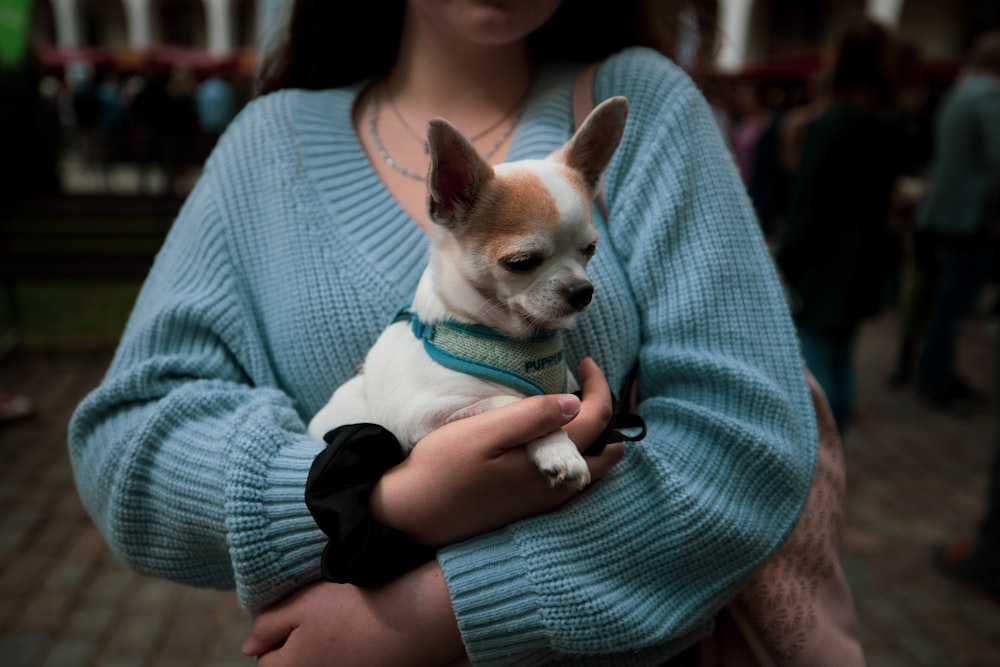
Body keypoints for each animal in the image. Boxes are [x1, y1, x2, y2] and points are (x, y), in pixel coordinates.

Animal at [308, 96, 628, 488]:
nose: (582, 290)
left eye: (590, 250)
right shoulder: (423, 417)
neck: (511, 336)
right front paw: (558, 449)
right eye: (521, 262)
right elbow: (514, 402)